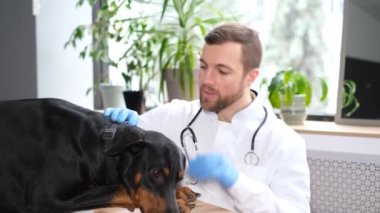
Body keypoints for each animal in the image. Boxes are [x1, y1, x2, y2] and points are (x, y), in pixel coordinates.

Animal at [0, 98, 197, 213]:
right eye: (155, 173)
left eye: (179, 178)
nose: (173, 212)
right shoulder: (44, 198)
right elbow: (117, 189)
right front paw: (180, 202)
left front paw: (181, 193)